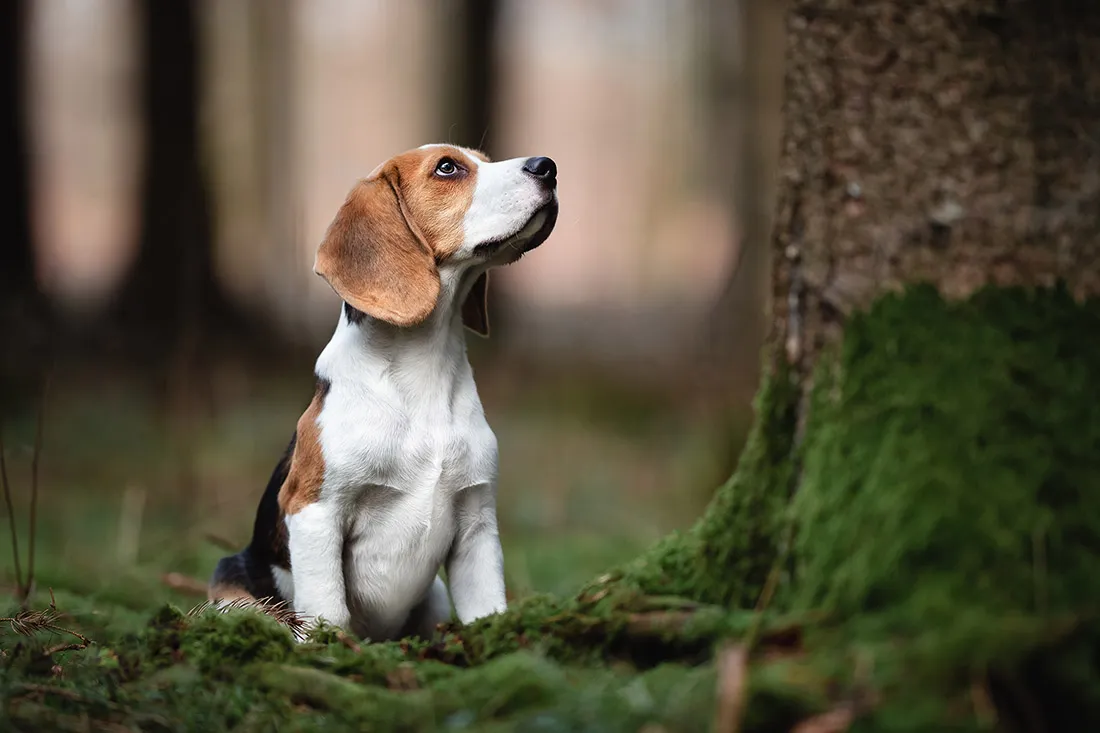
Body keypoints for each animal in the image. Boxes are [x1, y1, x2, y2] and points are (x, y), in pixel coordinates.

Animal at [206, 143, 558, 638]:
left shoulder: (477, 524)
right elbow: (329, 612)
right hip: (232, 587)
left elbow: (487, 608)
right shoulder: (314, 510)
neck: (425, 371)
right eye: (447, 168)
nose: (548, 167)